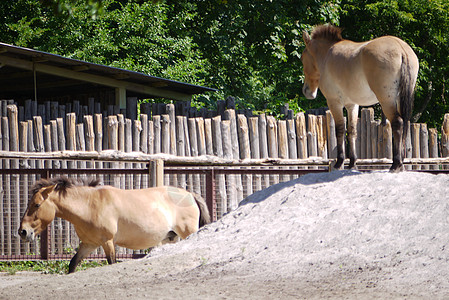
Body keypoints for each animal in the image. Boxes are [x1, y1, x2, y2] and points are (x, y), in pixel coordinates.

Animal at [18, 177, 211, 274]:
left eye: (36, 205)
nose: (22, 232)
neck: (89, 205)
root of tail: (190, 195)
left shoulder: (108, 242)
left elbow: (111, 263)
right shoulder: (89, 244)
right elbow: (72, 265)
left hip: (188, 233)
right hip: (171, 239)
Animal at [300, 24, 418, 172]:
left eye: (302, 58)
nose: (306, 91)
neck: (326, 55)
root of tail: (401, 48)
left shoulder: (334, 102)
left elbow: (339, 130)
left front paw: (339, 162)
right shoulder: (352, 105)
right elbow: (352, 131)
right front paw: (352, 163)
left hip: (387, 100)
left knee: (398, 123)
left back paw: (396, 164)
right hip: (399, 100)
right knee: (404, 124)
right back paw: (400, 163)